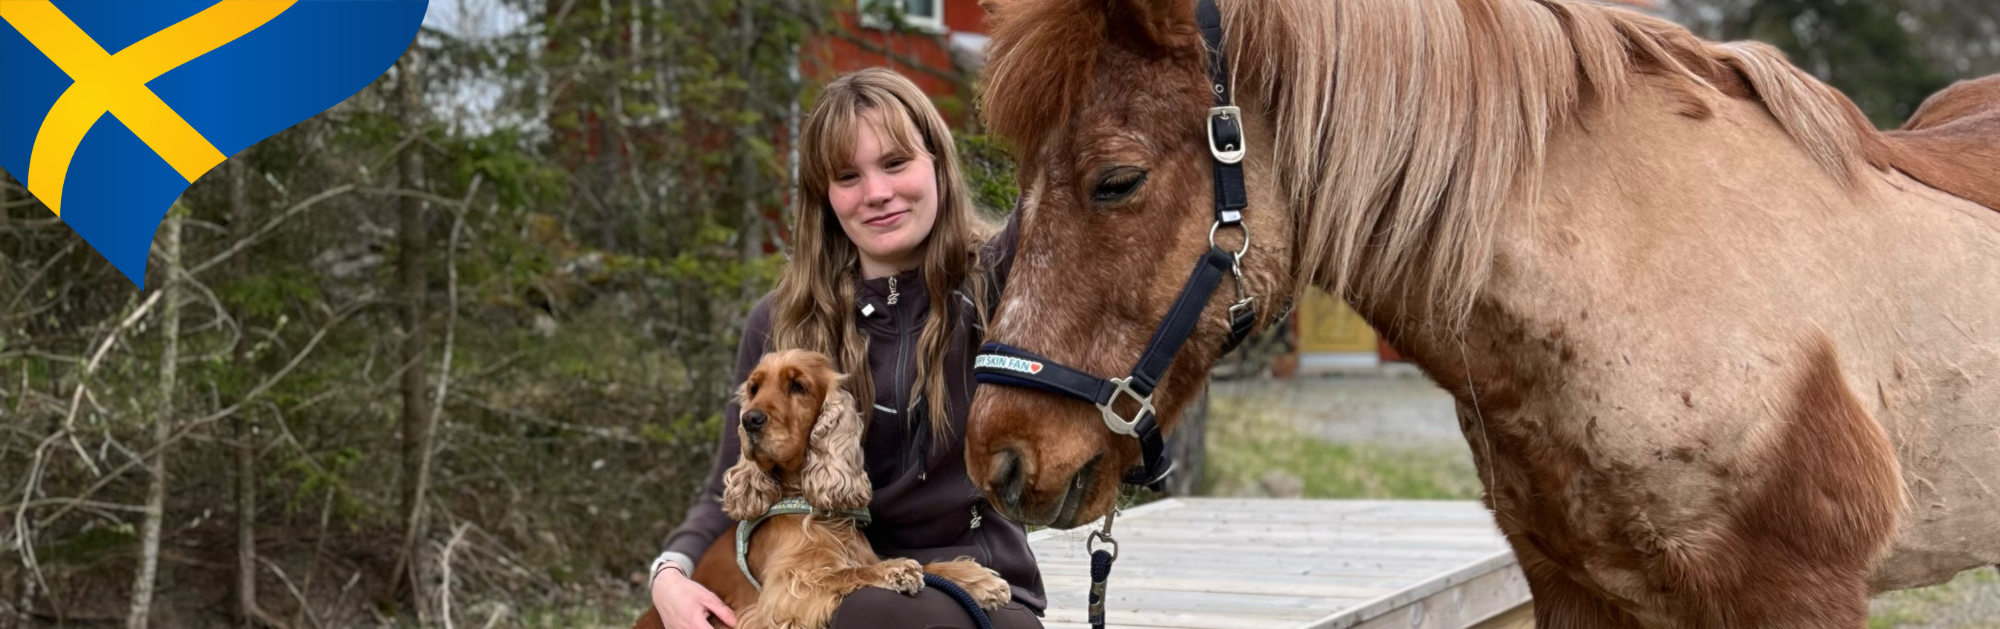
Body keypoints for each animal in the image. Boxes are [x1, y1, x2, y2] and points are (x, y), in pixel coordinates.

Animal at [636, 348, 1016, 629]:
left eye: (797, 387)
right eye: (755, 388)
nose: (749, 420)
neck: (804, 500)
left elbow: (928, 566)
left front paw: (977, 580)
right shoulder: (780, 595)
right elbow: (839, 574)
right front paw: (892, 571)